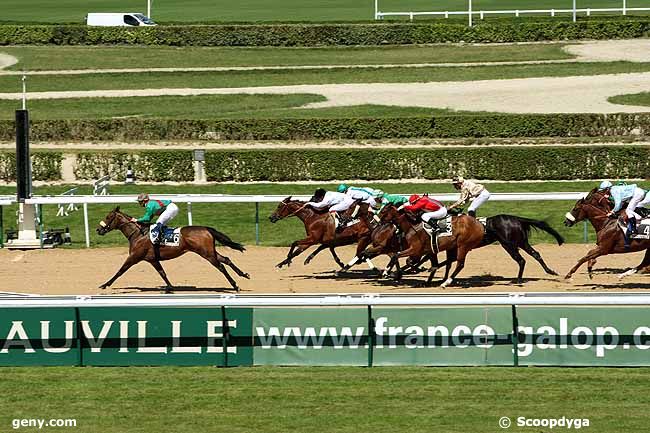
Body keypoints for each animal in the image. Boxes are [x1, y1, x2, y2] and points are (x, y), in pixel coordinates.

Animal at [95, 206, 248, 290]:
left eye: (108, 216)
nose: (98, 230)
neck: (138, 234)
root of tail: (206, 229)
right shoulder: (152, 259)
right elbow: (162, 273)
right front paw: (170, 287)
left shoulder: (134, 257)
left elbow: (120, 271)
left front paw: (105, 284)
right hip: (210, 251)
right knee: (226, 259)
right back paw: (243, 275)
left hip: (207, 254)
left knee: (221, 266)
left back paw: (235, 285)